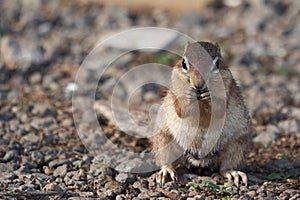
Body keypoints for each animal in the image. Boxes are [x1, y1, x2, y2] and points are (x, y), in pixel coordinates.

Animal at [151, 41, 252, 187]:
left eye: (217, 63)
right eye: (184, 63)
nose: (198, 85)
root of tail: (198, 161)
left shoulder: (226, 88)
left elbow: (220, 109)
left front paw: (209, 97)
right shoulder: (176, 90)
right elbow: (180, 110)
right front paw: (188, 96)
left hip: (237, 144)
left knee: (225, 167)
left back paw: (233, 173)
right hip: (163, 138)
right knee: (166, 161)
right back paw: (166, 171)